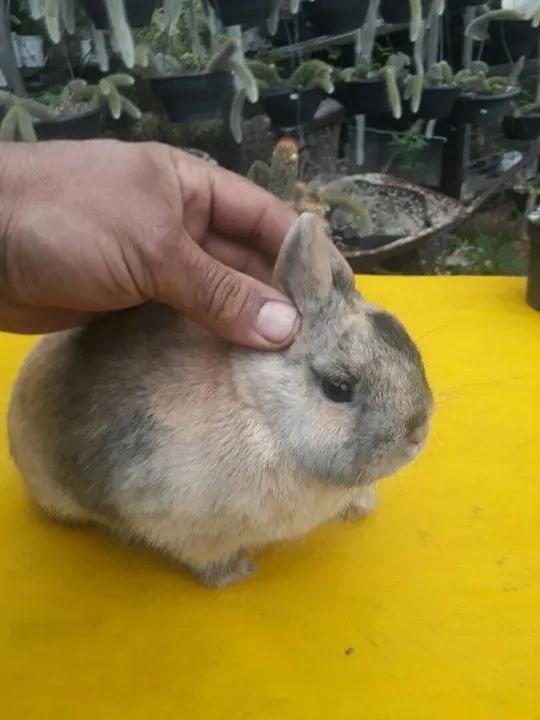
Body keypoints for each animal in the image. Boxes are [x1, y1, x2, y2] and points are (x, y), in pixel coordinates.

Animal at [8, 212, 433, 588]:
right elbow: (207, 560)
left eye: (403, 339)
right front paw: (237, 572)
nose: (417, 434)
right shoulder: (189, 530)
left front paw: (361, 505)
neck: (263, 413)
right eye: (337, 387)